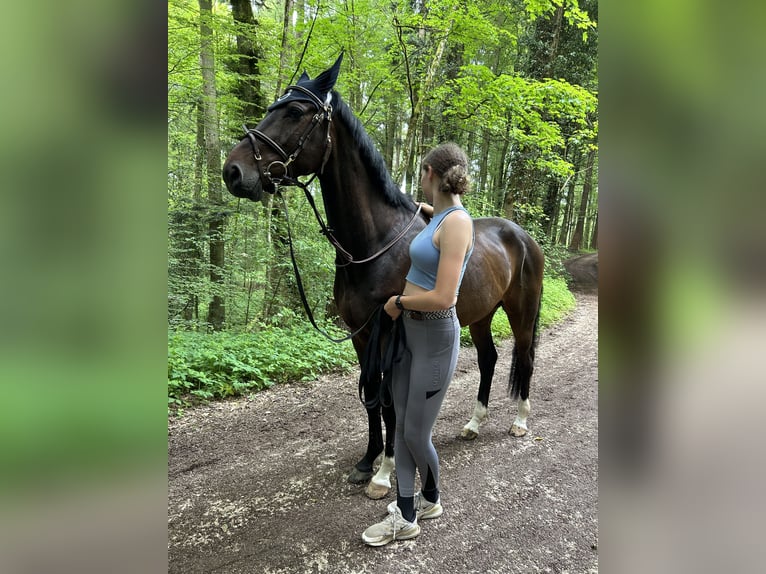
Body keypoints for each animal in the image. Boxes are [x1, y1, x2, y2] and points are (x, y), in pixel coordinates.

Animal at [222, 56, 544, 502]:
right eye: (273, 106)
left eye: (294, 112)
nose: (233, 171)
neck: (373, 243)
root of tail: (523, 236)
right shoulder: (361, 333)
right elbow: (371, 397)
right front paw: (367, 460)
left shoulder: (389, 329)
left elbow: (391, 401)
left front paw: (385, 471)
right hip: (481, 315)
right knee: (489, 360)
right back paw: (473, 424)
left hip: (521, 311)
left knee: (525, 357)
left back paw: (520, 421)